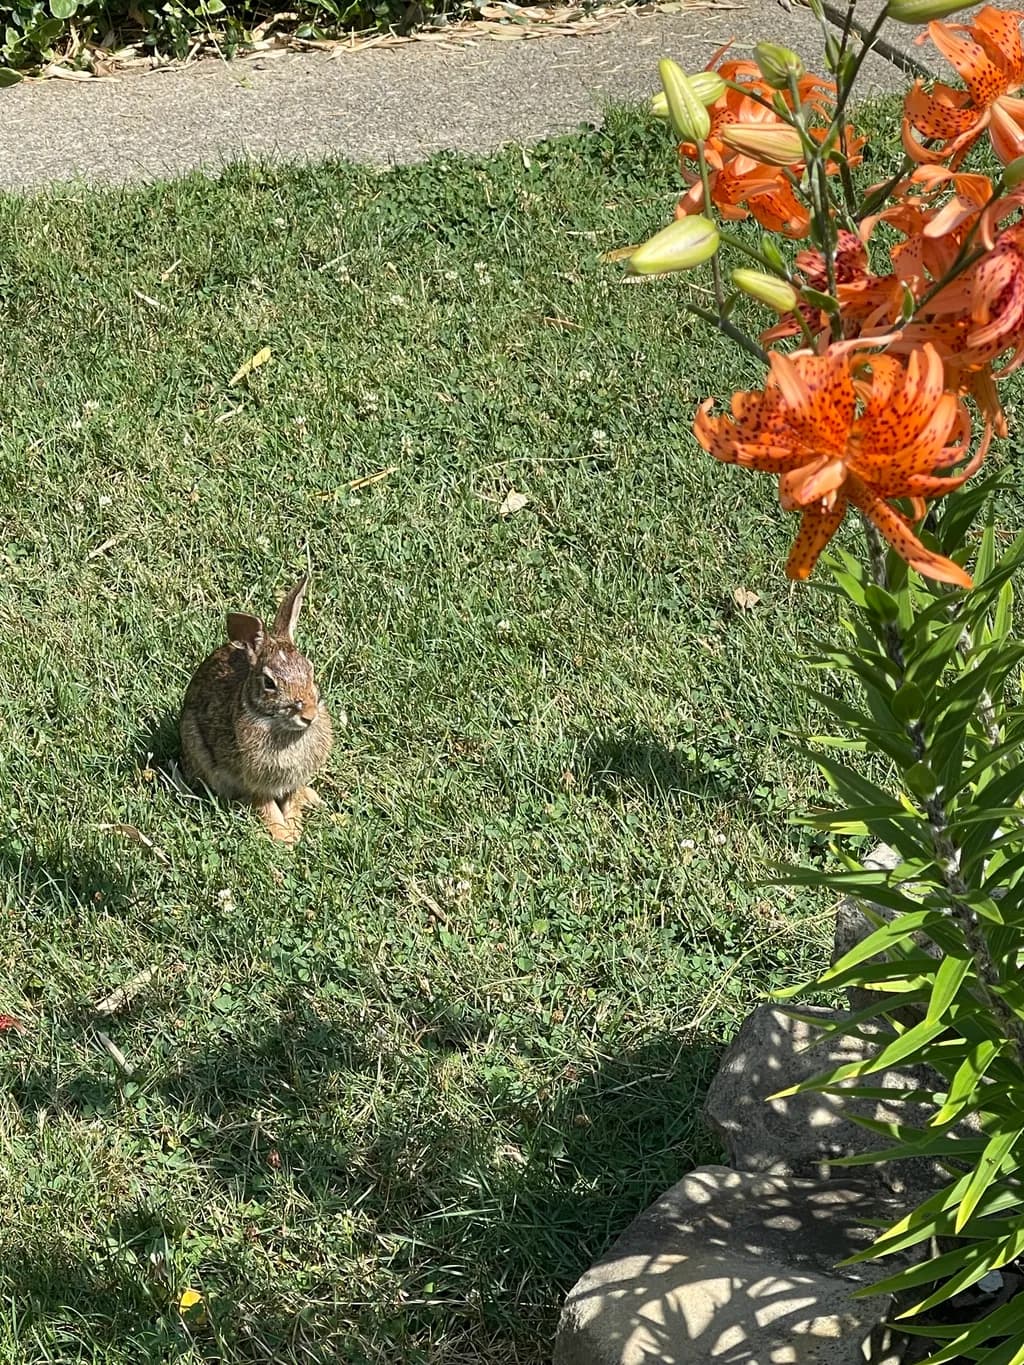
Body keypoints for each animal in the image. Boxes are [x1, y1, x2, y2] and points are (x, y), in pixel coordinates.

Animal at [179, 576, 333, 844]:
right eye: (269, 683)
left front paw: (294, 830)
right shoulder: (253, 780)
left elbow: (292, 799)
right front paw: (284, 837)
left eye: (310, 669)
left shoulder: (294, 780)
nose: (309, 716)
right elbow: (265, 805)